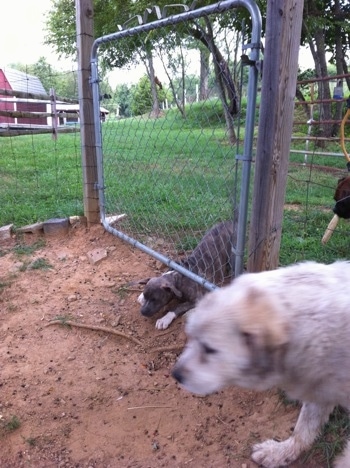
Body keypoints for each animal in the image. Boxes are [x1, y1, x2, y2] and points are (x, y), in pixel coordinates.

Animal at [172, 260, 350, 468]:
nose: (176, 374)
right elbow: (302, 429)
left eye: (209, 349)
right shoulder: (320, 390)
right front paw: (281, 453)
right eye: (190, 336)